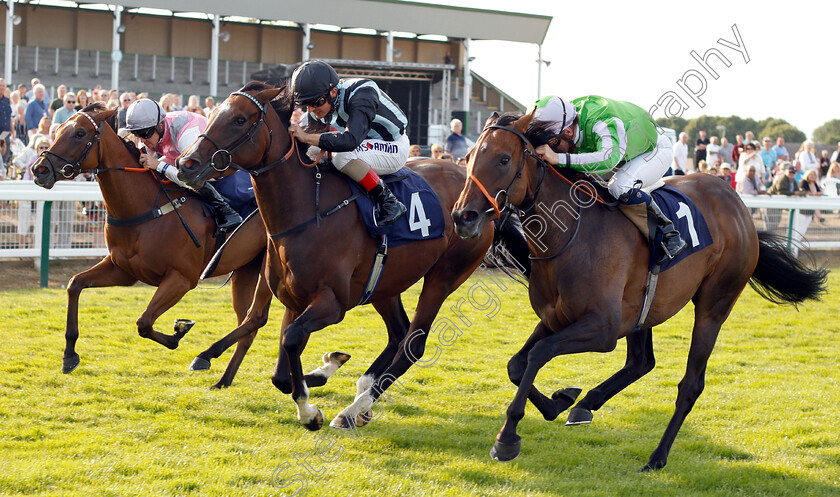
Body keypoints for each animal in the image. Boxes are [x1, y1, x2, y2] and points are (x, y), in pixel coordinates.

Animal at [30, 102, 270, 386]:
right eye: (58, 130)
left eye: (79, 133)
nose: (40, 169)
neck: (146, 209)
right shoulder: (123, 271)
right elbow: (74, 284)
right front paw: (69, 355)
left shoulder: (182, 279)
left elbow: (144, 322)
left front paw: (178, 332)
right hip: (245, 270)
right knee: (248, 325)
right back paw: (223, 379)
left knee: (257, 318)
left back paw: (207, 358)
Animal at [176, 82, 498, 430]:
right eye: (213, 115)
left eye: (238, 120)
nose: (185, 164)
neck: (306, 211)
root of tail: (476, 190)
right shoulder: (294, 301)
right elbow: (281, 373)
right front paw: (322, 372)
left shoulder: (333, 304)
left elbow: (291, 340)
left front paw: (309, 412)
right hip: (385, 283)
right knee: (398, 333)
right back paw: (361, 397)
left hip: (444, 276)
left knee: (412, 344)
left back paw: (354, 409)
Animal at [452, 112, 828, 468]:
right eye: (468, 157)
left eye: (503, 159)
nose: (462, 216)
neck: (571, 234)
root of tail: (739, 207)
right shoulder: (556, 318)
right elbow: (517, 364)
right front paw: (561, 400)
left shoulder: (602, 329)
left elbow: (538, 354)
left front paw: (507, 437)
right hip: (643, 310)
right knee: (641, 361)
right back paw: (586, 404)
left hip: (714, 305)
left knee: (690, 384)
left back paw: (657, 457)